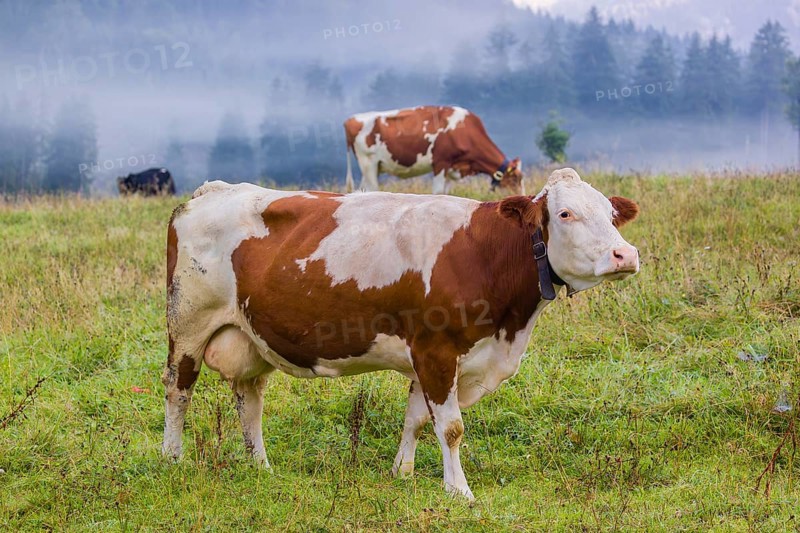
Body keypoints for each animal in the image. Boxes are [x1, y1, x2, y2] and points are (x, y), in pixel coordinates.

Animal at [162, 167, 640, 500]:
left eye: (612, 215)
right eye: (565, 213)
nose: (626, 254)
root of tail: (212, 190)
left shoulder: (428, 357)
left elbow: (416, 418)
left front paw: (402, 472)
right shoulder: (437, 351)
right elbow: (451, 427)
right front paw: (458, 491)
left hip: (250, 335)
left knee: (250, 399)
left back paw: (260, 465)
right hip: (188, 325)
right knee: (178, 390)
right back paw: (173, 458)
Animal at [344, 106, 523, 195]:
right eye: (515, 178)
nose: (521, 196)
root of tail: (351, 119)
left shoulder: (452, 168)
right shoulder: (440, 162)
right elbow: (437, 192)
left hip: (372, 167)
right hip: (369, 163)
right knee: (372, 189)